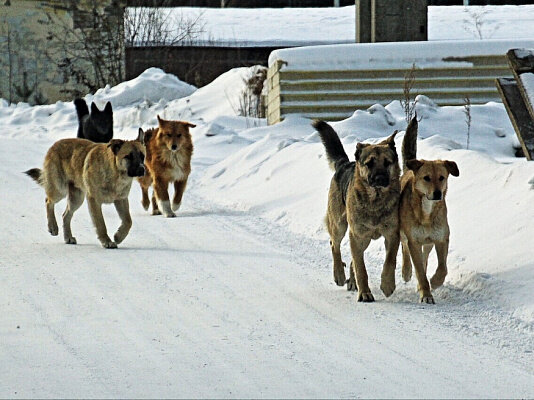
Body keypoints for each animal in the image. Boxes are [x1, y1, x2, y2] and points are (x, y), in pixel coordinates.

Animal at [314, 120, 402, 302]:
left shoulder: (392, 234)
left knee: (352, 258)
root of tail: (344, 164)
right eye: (369, 163)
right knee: (335, 245)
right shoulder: (356, 234)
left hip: (364, 238)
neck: (375, 201)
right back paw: (339, 274)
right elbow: (361, 268)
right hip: (340, 226)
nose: (380, 179)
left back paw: (352, 281)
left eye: (387, 162)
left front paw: (387, 285)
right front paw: (365, 292)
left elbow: (389, 261)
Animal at [402, 115, 460, 304]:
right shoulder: (413, 240)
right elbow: (419, 270)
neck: (427, 212)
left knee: (425, 257)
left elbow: (442, 267)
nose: (437, 193)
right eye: (426, 178)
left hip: (428, 243)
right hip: (404, 235)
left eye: (442, 177)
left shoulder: (441, 239)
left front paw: (435, 281)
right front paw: (426, 294)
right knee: (406, 251)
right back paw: (407, 272)